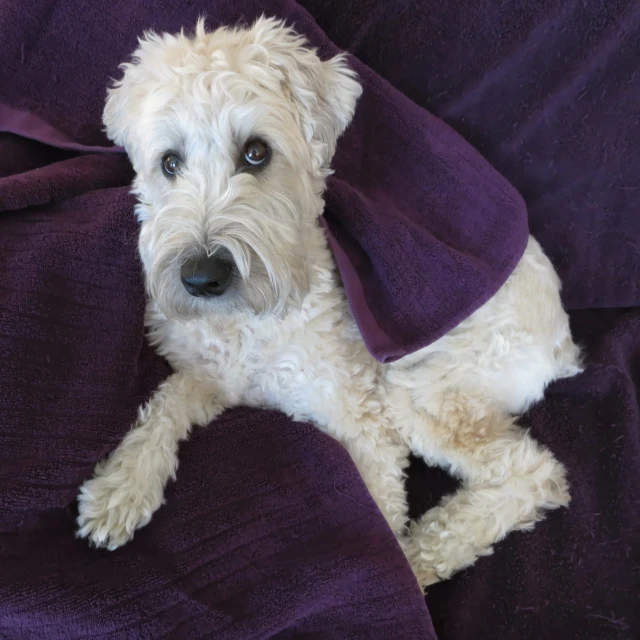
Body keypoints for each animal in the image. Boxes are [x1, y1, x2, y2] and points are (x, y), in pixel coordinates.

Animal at [77, 18, 584, 592]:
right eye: (169, 163)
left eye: (256, 152)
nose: (202, 278)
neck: (250, 324)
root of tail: (562, 338)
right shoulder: (209, 376)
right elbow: (163, 403)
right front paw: (122, 486)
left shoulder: (365, 424)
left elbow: (380, 512)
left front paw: (392, 577)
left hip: (426, 390)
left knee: (534, 474)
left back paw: (425, 553)